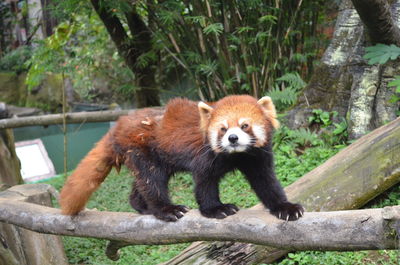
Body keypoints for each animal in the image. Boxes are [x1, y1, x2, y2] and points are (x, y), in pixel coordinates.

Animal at [59, 95, 304, 221]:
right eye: (223, 129)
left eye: (245, 125)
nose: (233, 138)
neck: (236, 156)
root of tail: (118, 125)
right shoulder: (204, 158)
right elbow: (204, 185)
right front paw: (216, 209)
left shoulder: (257, 158)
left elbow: (267, 183)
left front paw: (285, 207)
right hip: (141, 149)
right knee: (152, 182)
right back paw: (166, 210)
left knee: (143, 184)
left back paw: (142, 206)